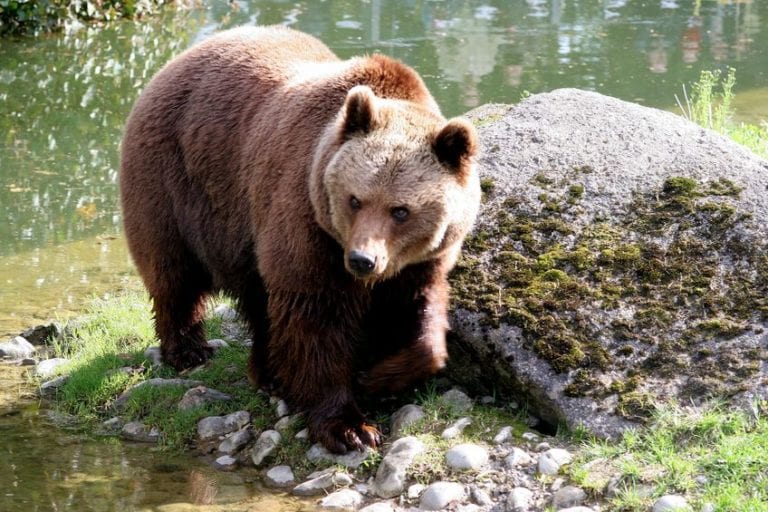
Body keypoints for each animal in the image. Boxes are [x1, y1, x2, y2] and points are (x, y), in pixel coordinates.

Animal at [120, 26, 480, 454]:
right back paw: (189, 349)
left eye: (400, 210)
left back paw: (268, 371)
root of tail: (175, 61)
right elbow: (314, 317)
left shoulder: (420, 261)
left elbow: (420, 319)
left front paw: (379, 376)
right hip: (174, 183)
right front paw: (349, 425)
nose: (362, 260)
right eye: (354, 199)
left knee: (256, 297)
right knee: (175, 273)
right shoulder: (308, 224)